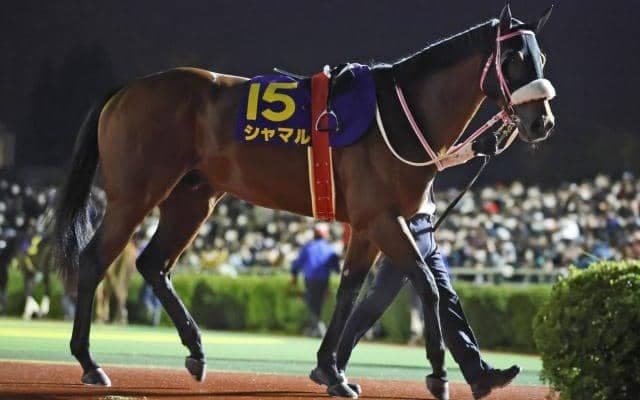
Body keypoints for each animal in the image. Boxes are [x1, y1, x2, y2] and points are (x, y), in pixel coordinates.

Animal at [53, 5, 556, 398]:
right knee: (95, 260)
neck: (398, 114)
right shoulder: (384, 219)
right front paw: (437, 375)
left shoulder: (369, 226)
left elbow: (349, 291)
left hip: (192, 198)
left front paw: (333, 371)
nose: (542, 122)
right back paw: (90, 363)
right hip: (134, 195)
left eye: (541, 57)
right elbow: (426, 284)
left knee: (153, 264)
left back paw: (195, 352)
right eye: (513, 58)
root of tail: (123, 91)